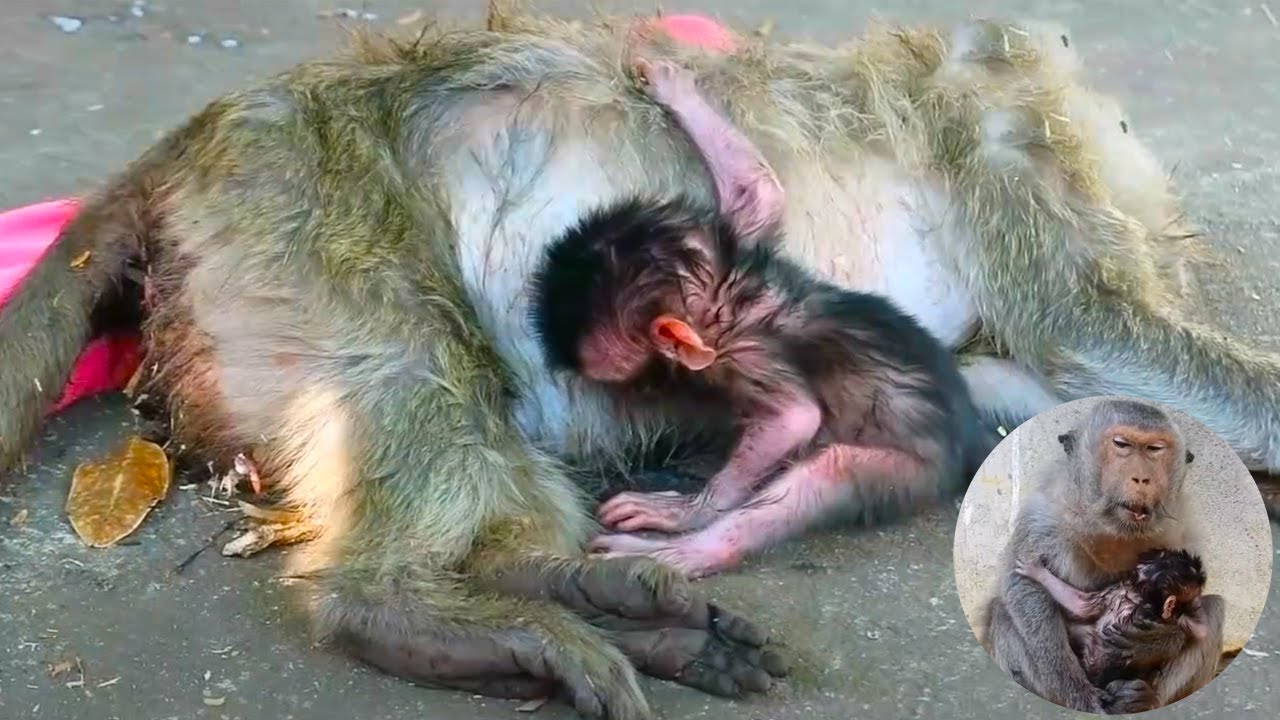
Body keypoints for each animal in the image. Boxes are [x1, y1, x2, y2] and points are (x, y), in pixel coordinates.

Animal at [529, 58, 995, 578]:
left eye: (638, 382)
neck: (721, 286)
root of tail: (969, 445)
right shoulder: (730, 236)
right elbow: (759, 190)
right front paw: (674, 87)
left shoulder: (742, 353)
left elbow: (793, 418)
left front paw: (688, 511)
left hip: (910, 473)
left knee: (829, 470)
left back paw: (683, 553)